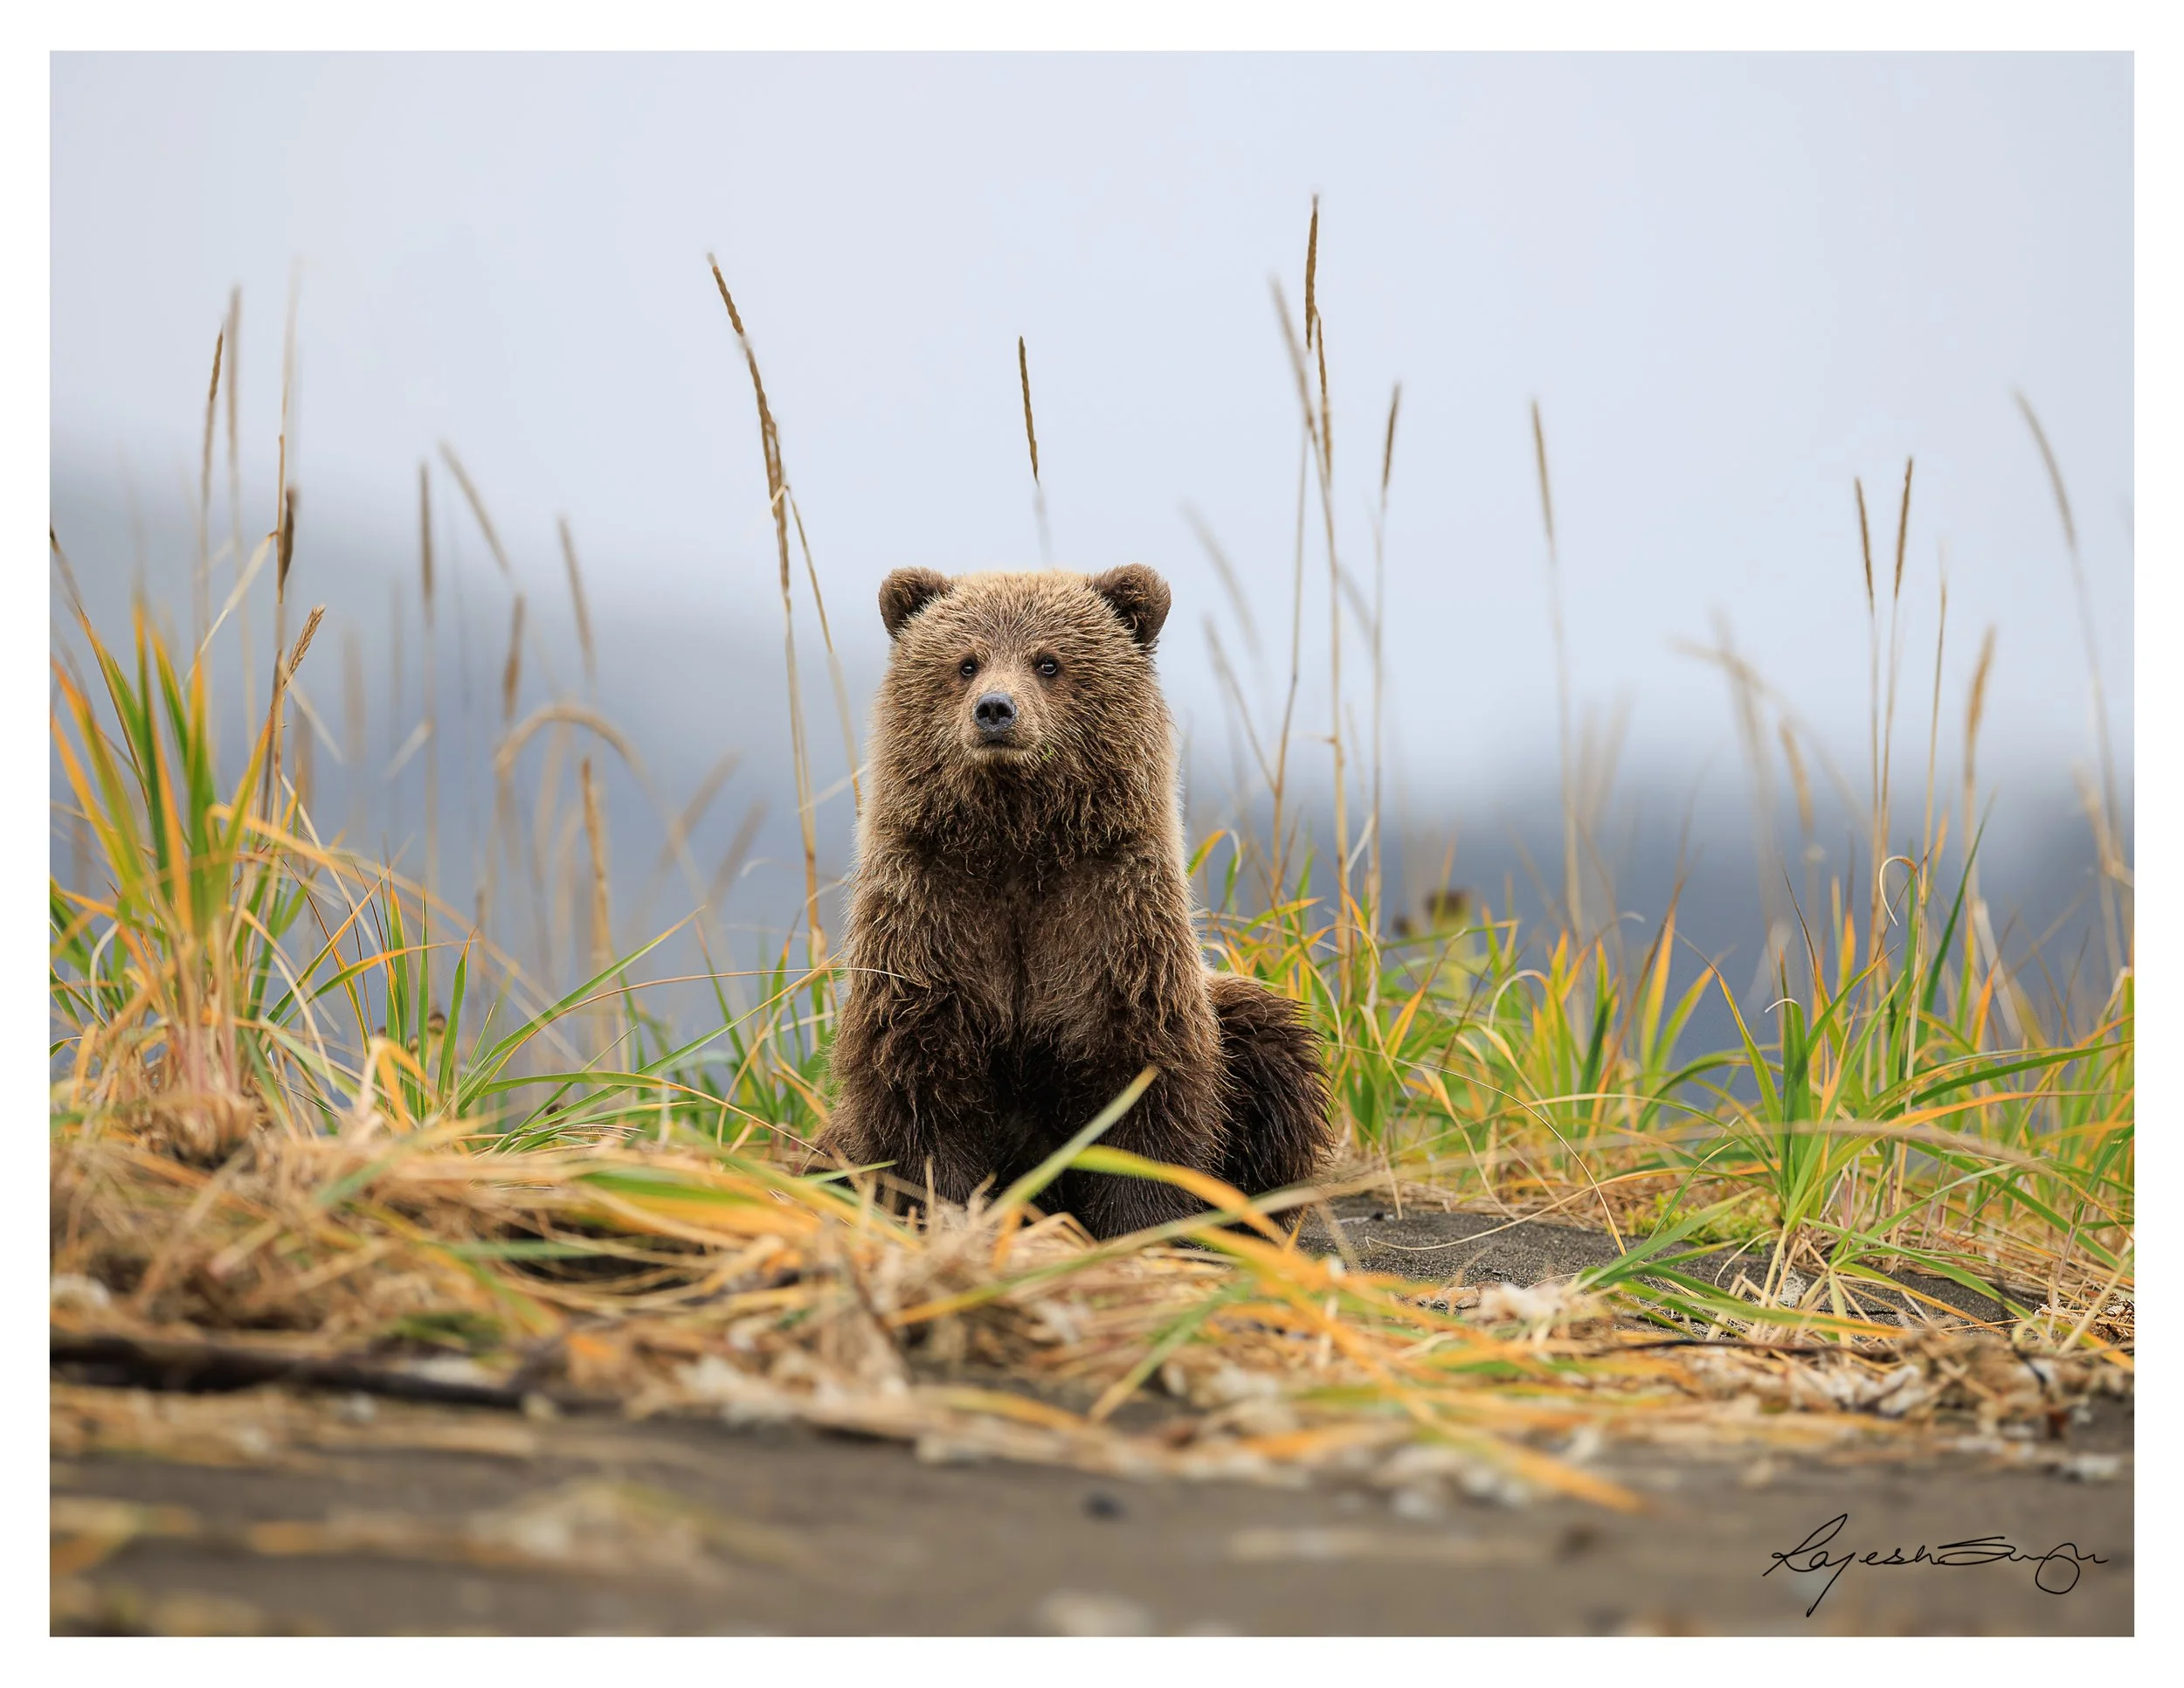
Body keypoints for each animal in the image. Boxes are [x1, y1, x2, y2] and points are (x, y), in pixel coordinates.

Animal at [826, 562, 1332, 1240]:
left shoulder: (1110, 925)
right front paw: (943, 1211)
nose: (995, 709)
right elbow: (922, 1088)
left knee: (1273, 1046)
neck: (1017, 843)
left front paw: (1141, 1226)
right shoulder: (932, 916)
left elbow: (1137, 1091)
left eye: (1049, 662)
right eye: (966, 662)